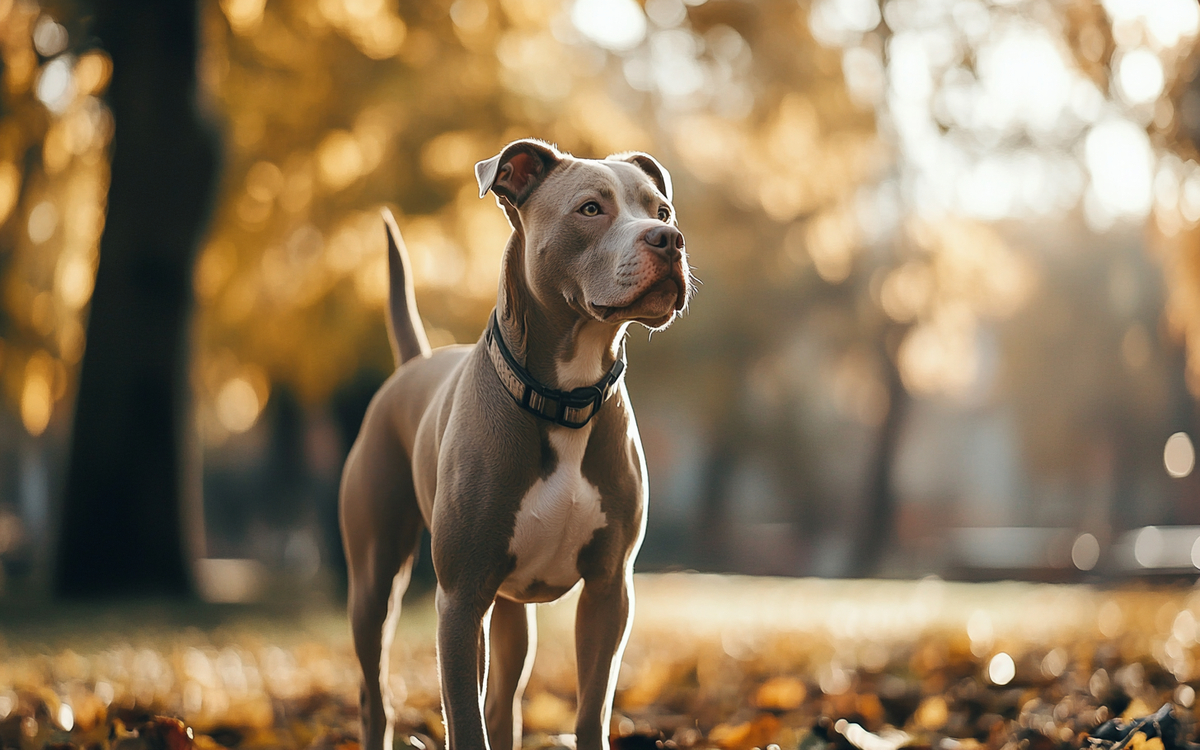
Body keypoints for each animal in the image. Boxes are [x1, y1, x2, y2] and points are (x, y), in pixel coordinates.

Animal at [338, 137, 696, 748]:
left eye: (662, 211)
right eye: (590, 209)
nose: (668, 239)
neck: (566, 398)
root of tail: (413, 364)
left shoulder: (609, 592)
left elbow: (592, 708)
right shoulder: (461, 601)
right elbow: (465, 717)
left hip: (511, 610)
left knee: (503, 701)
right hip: (374, 580)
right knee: (375, 694)